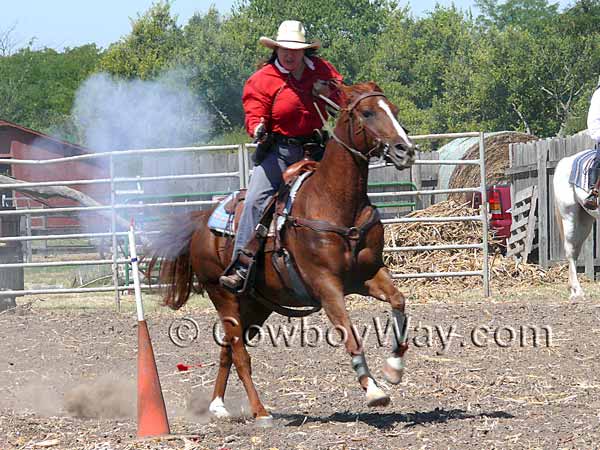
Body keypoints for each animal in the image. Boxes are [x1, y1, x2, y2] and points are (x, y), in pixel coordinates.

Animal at [148, 81, 414, 426]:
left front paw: (393, 370)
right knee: (240, 353)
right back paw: (260, 411)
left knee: (227, 348)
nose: (405, 150)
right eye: (368, 112)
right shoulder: (326, 285)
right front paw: (373, 390)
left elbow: (398, 301)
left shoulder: (367, 275)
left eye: (393, 110)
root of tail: (202, 222)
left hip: (256, 304)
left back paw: (218, 405)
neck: (334, 201)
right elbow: (349, 333)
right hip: (223, 295)